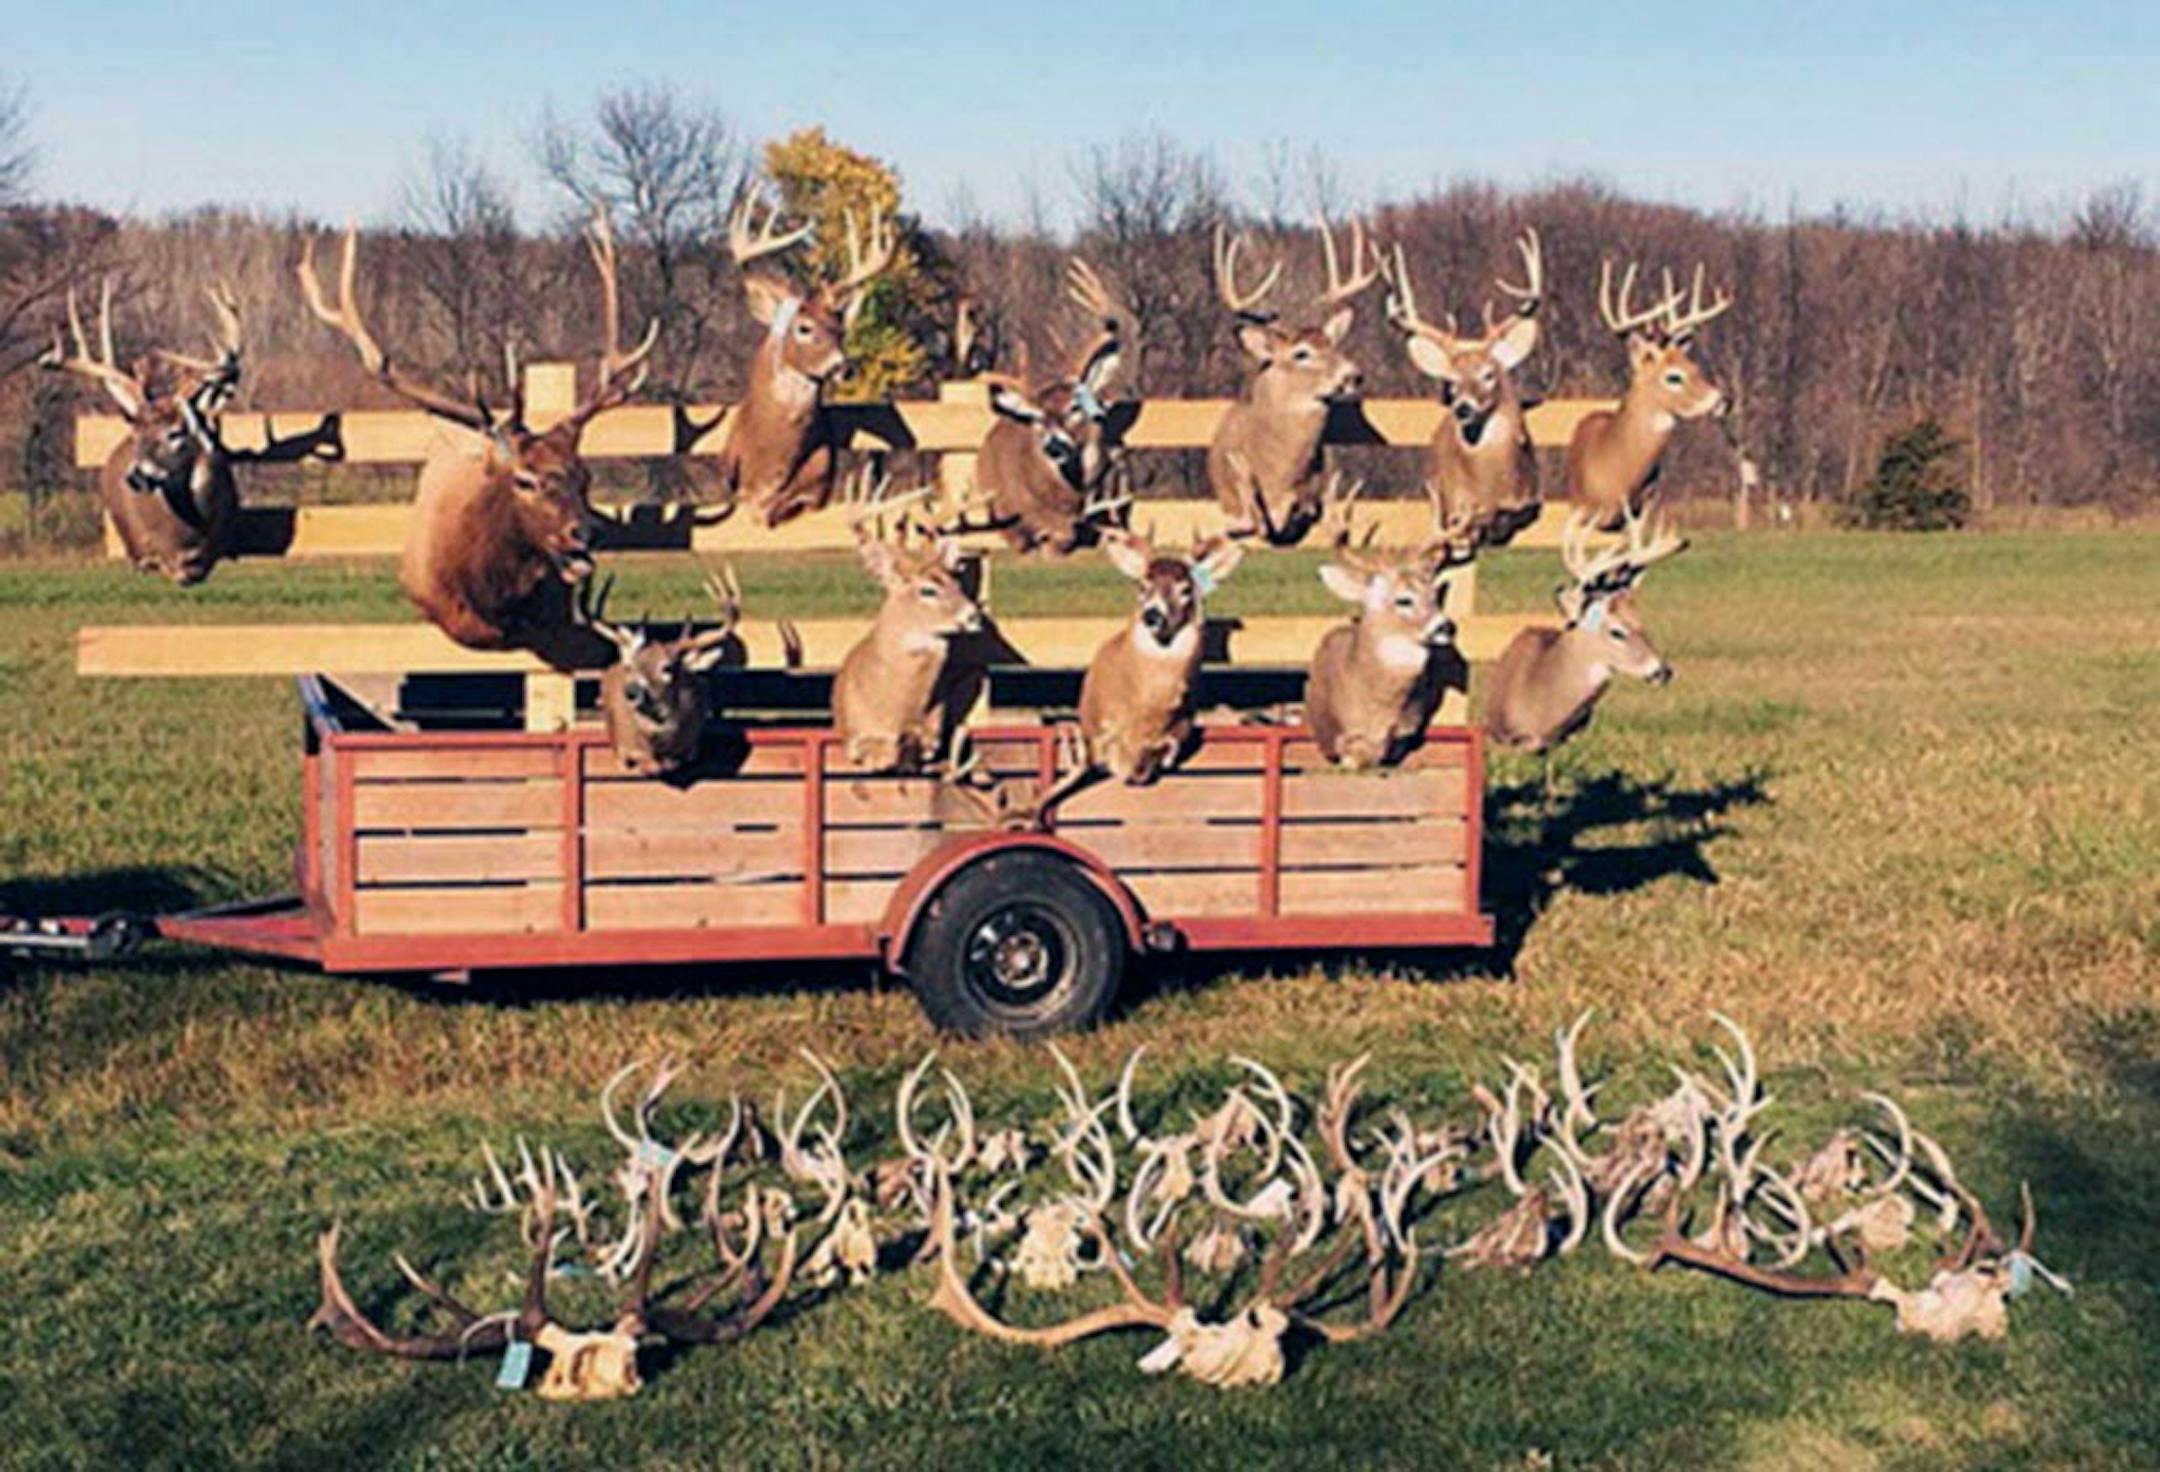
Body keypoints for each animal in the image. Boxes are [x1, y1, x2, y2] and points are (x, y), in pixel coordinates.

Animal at [1304, 486, 1478, 770]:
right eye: (1403, 600)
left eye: (1434, 596)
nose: (1447, 627)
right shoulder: (1343, 735)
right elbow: (1357, 755)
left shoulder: (1409, 732)